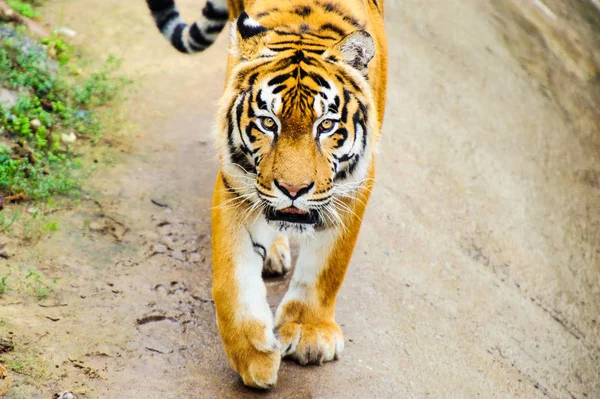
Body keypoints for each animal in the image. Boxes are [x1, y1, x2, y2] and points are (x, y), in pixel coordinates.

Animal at [148, 0, 386, 390]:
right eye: (268, 123)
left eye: (326, 125)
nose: (293, 190)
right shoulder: (236, 186)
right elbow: (232, 281)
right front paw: (254, 355)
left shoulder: (354, 187)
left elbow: (327, 268)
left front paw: (308, 332)